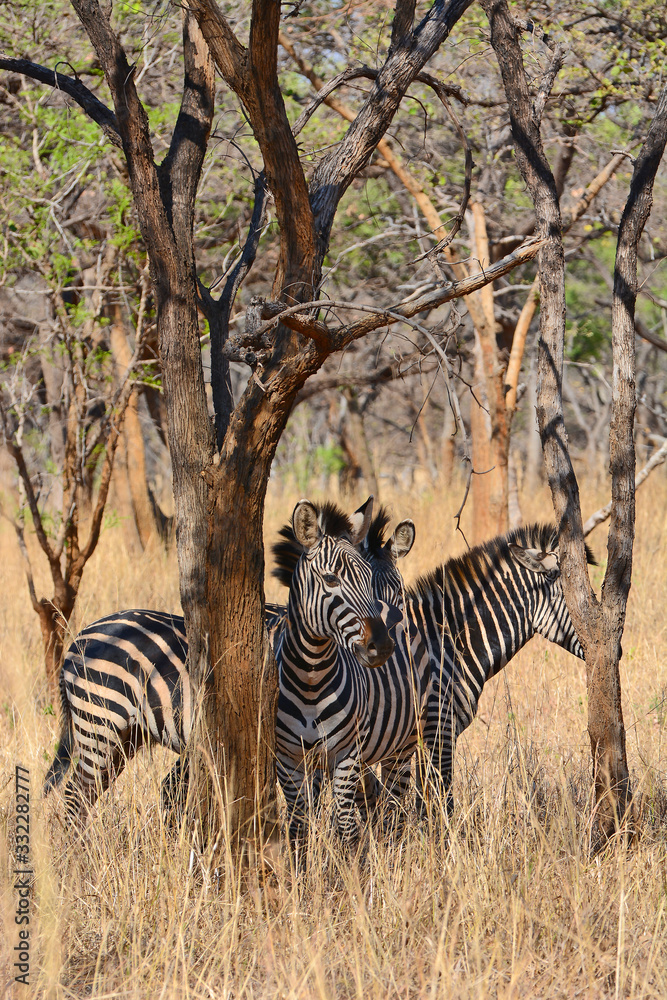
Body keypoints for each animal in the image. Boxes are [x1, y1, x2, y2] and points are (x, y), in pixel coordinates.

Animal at [405, 523, 593, 817]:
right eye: (574, 598)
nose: (616, 648)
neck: (450, 641)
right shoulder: (438, 729)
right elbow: (439, 799)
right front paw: (438, 830)